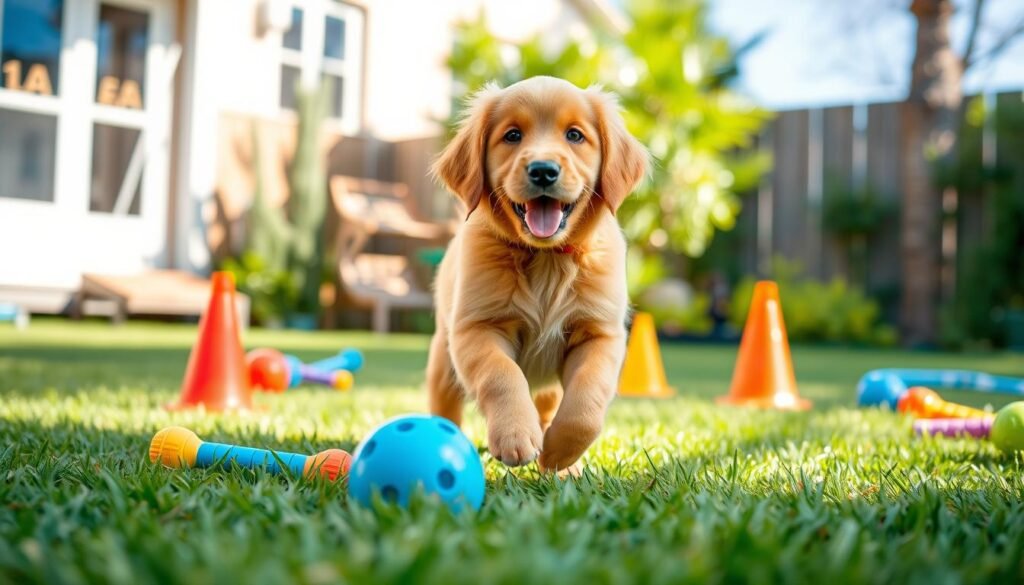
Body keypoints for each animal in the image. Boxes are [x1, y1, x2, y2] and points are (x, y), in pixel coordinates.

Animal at [428, 74, 643, 475]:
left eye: (575, 135)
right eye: (512, 135)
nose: (543, 170)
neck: (546, 259)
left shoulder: (600, 334)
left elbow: (586, 402)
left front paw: (559, 453)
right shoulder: (476, 328)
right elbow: (501, 374)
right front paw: (514, 435)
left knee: (549, 405)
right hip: (443, 361)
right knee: (445, 407)